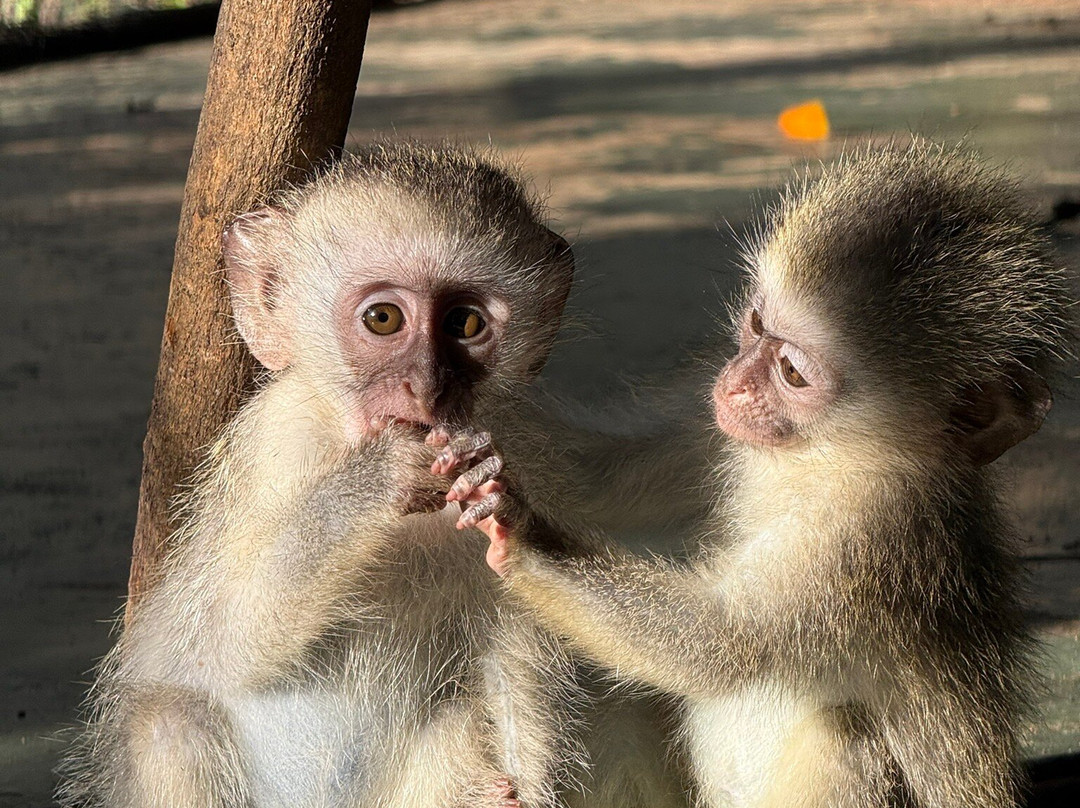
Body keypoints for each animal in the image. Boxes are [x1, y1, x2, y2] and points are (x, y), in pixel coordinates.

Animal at [58, 141, 688, 808]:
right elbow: (229, 638)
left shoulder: (524, 451)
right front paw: (387, 472)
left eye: (466, 324)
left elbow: (514, 638)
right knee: (170, 725)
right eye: (383, 319)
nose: (427, 388)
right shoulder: (276, 443)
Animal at [436, 139, 1076, 808]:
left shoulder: (877, 529)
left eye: (791, 372)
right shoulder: (721, 430)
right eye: (756, 325)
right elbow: (600, 478)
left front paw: (517, 528)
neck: (822, 459)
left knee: (842, 737)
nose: (735, 382)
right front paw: (451, 415)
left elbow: (718, 641)